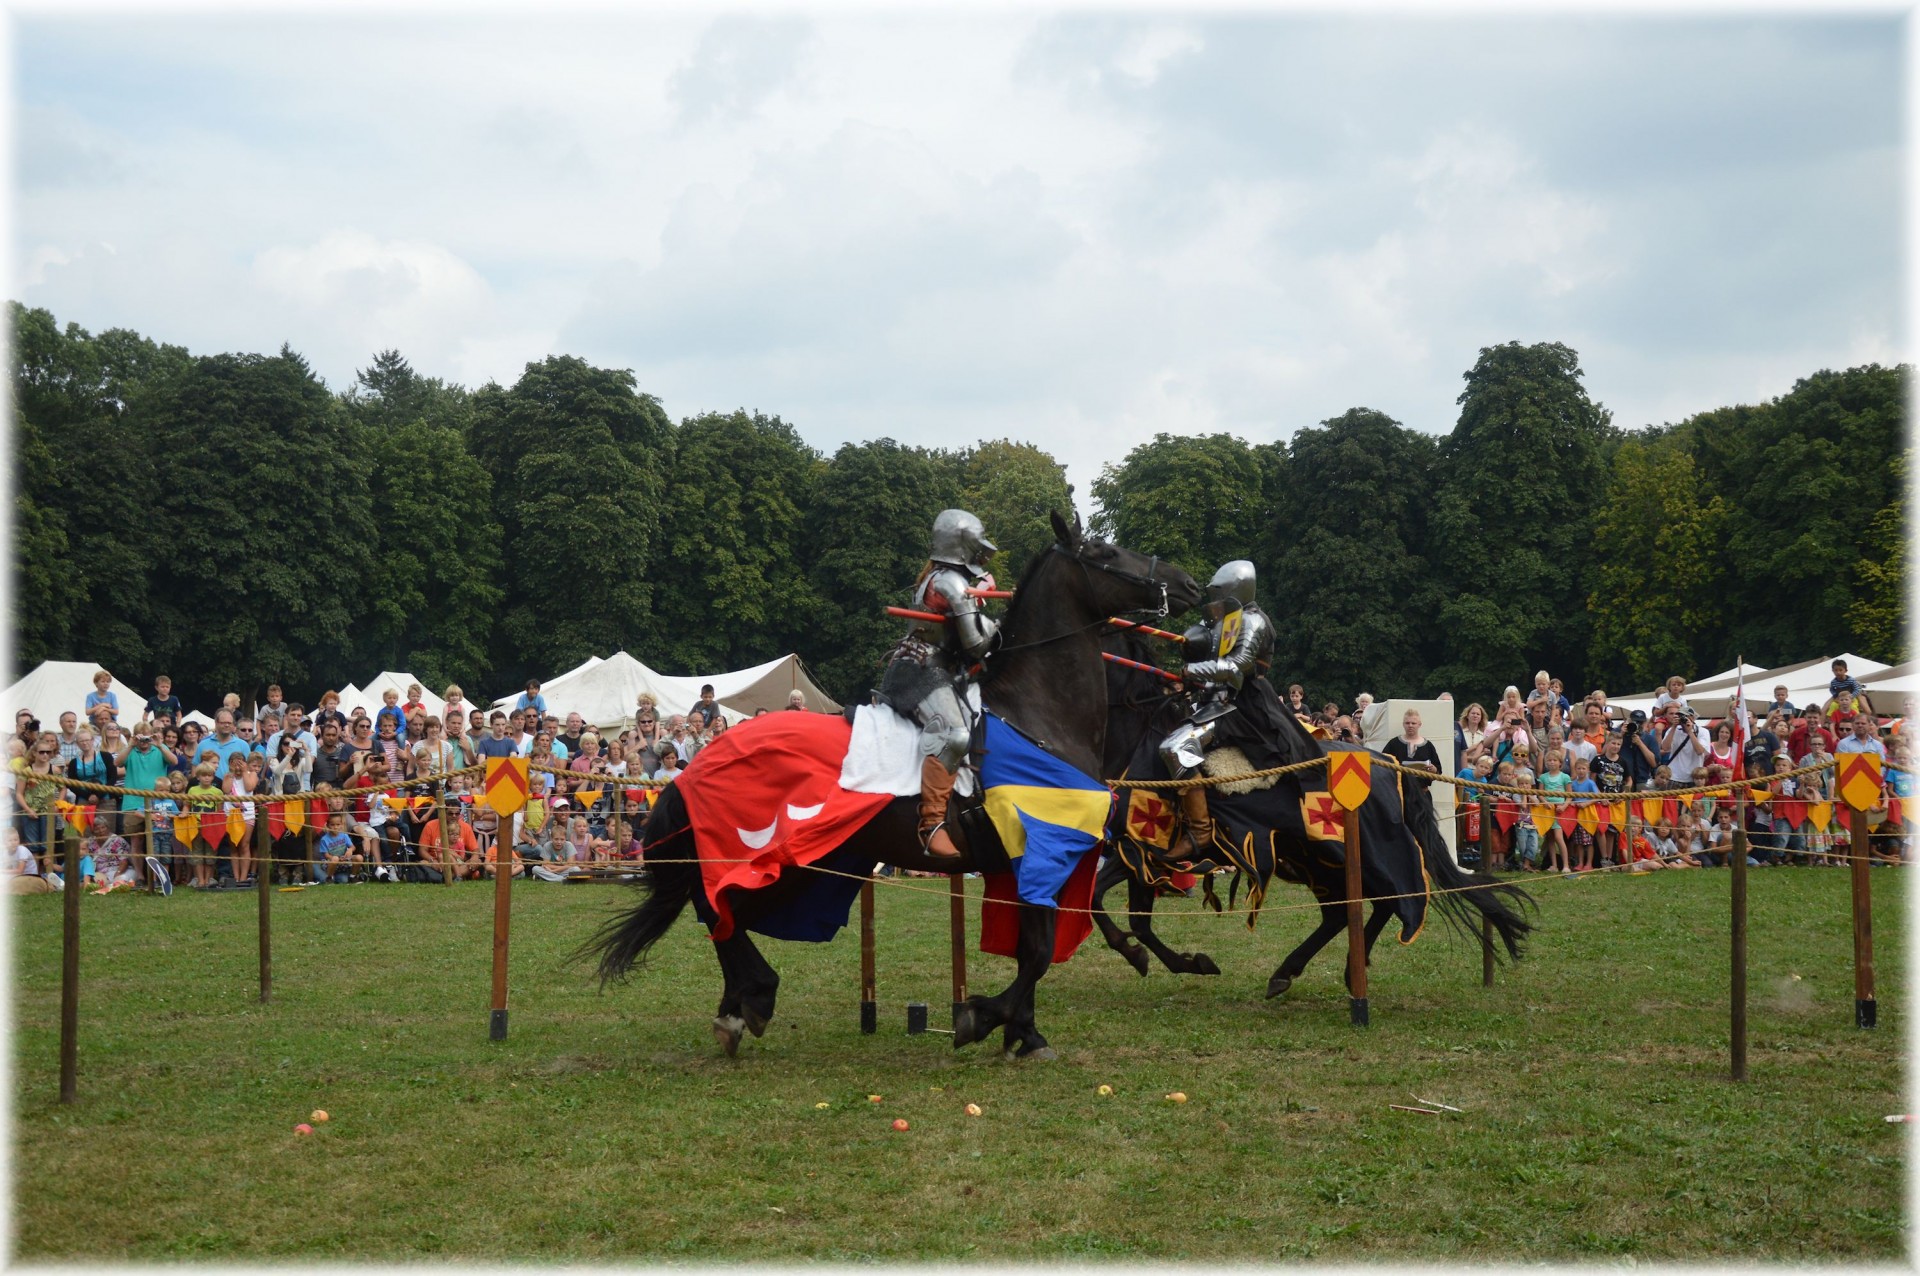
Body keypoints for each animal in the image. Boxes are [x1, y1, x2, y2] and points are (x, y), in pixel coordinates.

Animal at [579, 514, 1198, 1059]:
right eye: (1104, 552)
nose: (1187, 583)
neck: (1036, 715)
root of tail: (694, 765)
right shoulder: (1040, 852)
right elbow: (1040, 952)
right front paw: (982, 1020)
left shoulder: (1029, 864)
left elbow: (1033, 949)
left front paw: (1024, 1033)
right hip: (763, 854)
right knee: (717, 909)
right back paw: (751, 999)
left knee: (720, 911)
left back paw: (742, 1002)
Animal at [1098, 633, 1528, 997]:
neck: (1138, 740)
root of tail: (1389, 764)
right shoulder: (1133, 852)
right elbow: (1119, 910)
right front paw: (1167, 959)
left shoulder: (1142, 847)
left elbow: (1116, 910)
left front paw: (1170, 960)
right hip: (1316, 858)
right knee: (1349, 910)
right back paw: (1305, 971)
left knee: (1384, 900)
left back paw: (1325, 971)